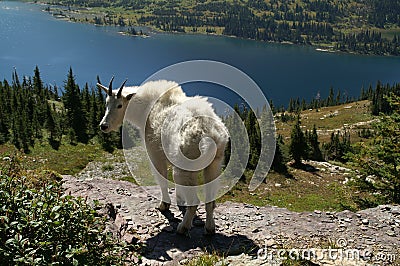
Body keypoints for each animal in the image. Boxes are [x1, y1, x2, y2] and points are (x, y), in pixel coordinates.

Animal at [97, 77, 228, 235]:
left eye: (120, 105)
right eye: (106, 103)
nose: (103, 126)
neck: (146, 108)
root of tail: (209, 137)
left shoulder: (155, 154)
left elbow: (162, 179)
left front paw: (164, 205)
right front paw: (179, 200)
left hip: (186, 167)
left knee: (195, 202)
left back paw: (182, 228)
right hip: (215, 164)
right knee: (210, 200)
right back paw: (209, 229)